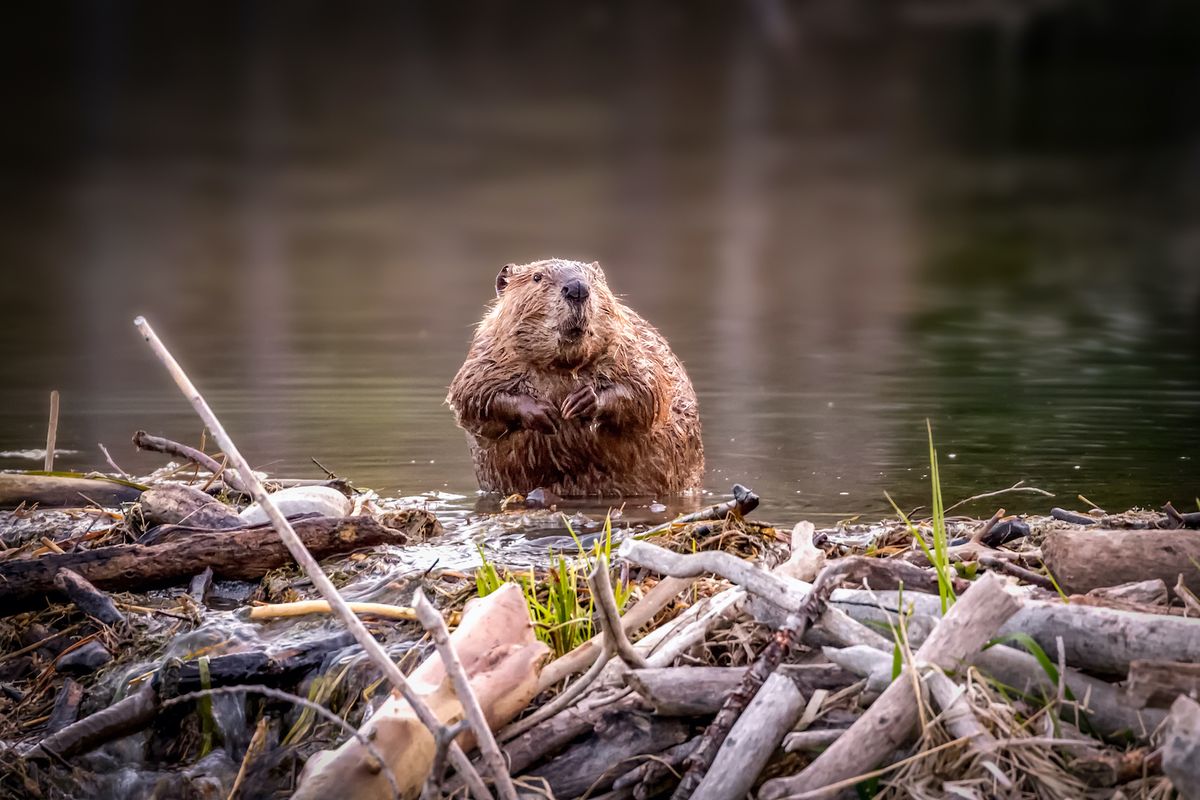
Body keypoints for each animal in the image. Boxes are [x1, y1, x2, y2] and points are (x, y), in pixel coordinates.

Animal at [448, 260, 700, 496]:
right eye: (537, 277)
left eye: (593, 279)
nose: (577, 288)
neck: (562, 366)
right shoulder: (486, 355)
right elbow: (472, 397)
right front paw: (543, 412)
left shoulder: (631, 346)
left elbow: (647, 391)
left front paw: (581, 402)